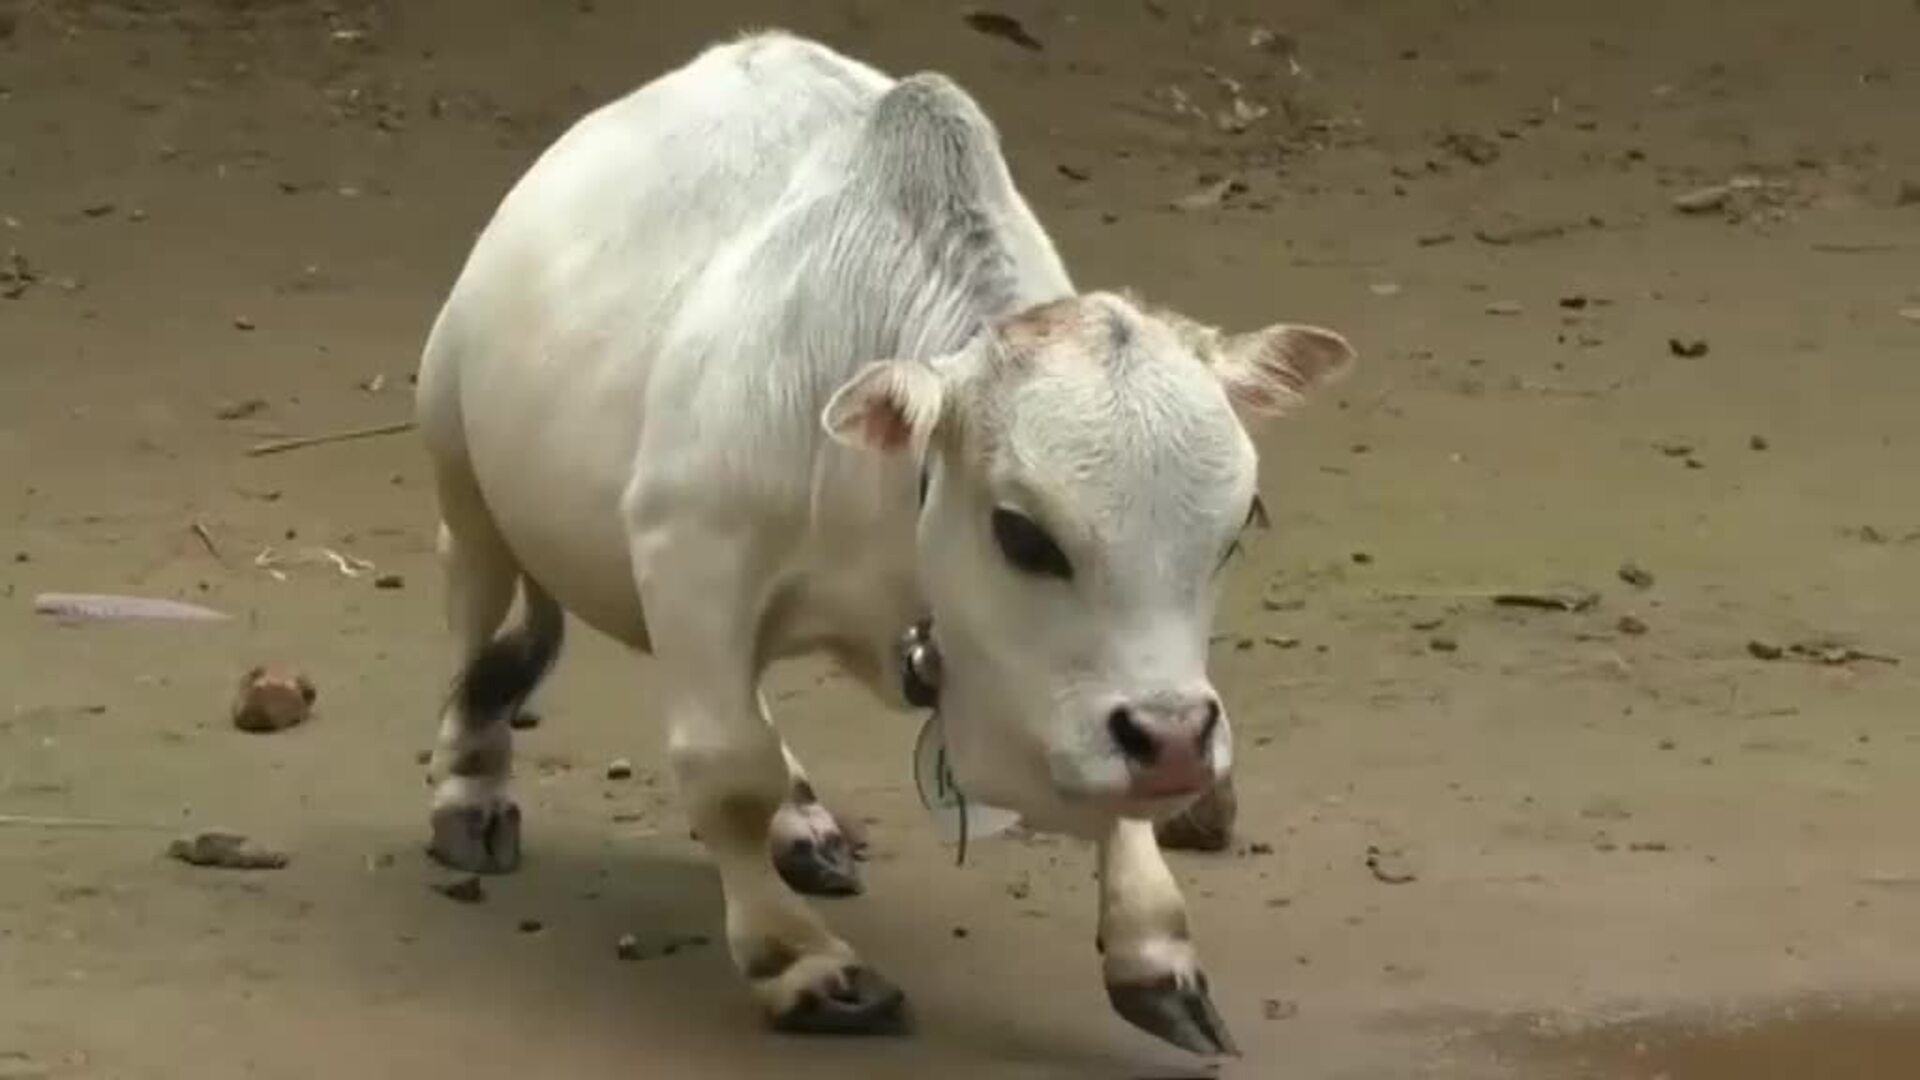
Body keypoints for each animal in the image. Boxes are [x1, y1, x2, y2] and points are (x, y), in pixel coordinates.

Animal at [413, 30, 1354, 1056]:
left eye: (1238, 527)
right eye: (1023, 533)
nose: (1177, 743)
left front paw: (1153, 948)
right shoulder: (692, 559)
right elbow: (727, 769)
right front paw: (801, 963)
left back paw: (802, 819)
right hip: (461, 473)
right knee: (472, 614)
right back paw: (470, 790)